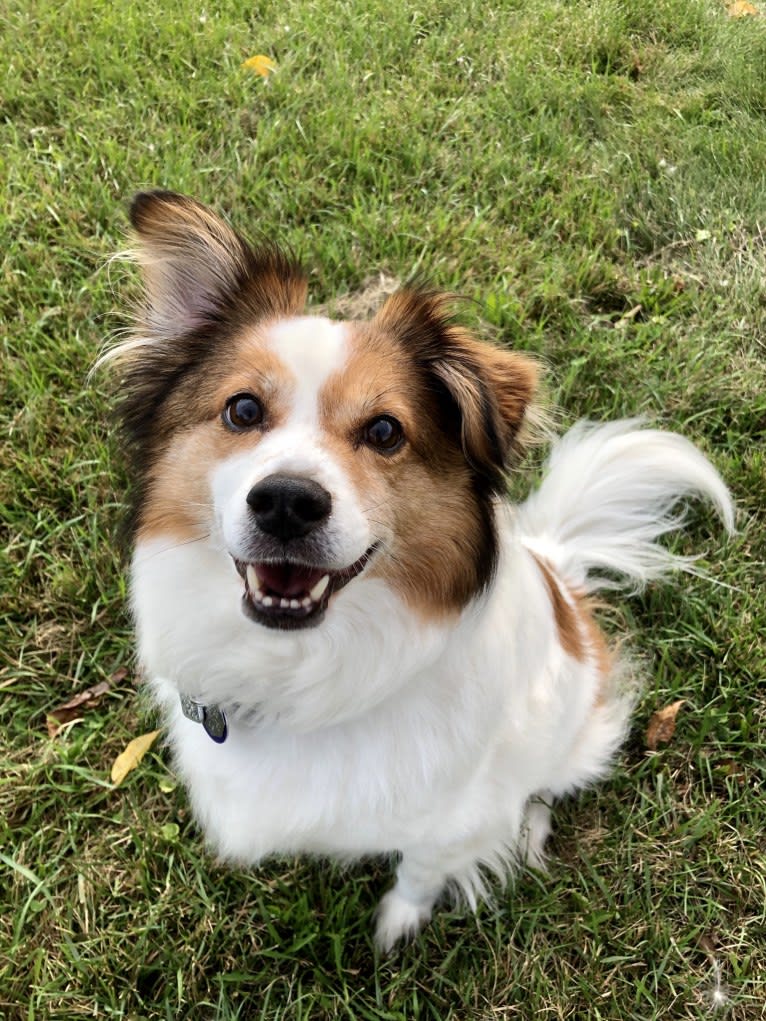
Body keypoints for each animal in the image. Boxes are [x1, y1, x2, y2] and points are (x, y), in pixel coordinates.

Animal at [109, 189, 739, 947]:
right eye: (243, 409)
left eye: (385, 430)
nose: (287, 502)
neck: (308, 673)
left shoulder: (455, 816)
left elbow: (420, 870)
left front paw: (396, 926)